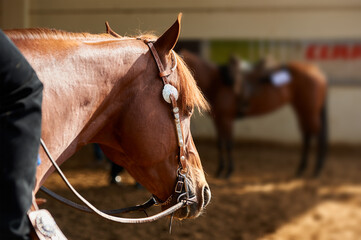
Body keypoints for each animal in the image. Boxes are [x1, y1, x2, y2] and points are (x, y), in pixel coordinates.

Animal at [180, 50, 326, 178]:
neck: (216, 83)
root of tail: (316, 72)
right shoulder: (218, 120)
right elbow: (220, 143)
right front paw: (220, 170)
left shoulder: (227, 119)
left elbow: (229, 144)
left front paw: (228, 171)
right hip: (302, 109)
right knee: (307, 135)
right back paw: (301, 169)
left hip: (309, 111)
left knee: (317, 134)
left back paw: (317, 169)